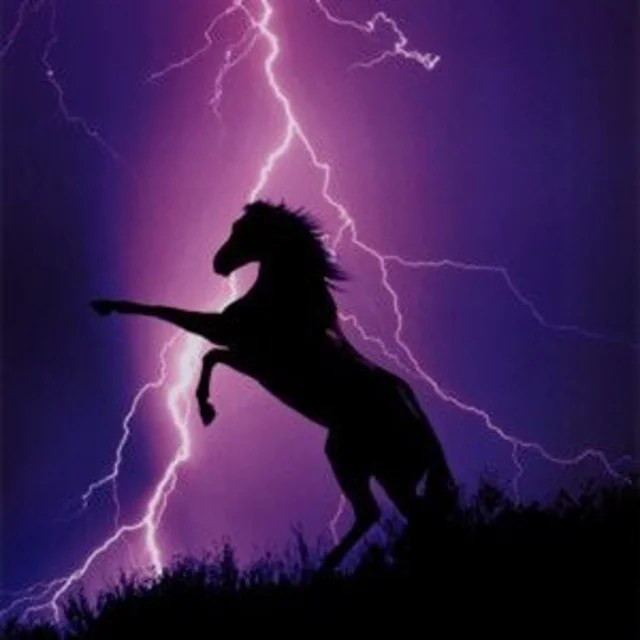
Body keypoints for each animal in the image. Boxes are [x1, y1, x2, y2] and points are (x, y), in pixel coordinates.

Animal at [91, 200, 456, 570]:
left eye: (244, 229)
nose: (218, 263)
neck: (286, 303)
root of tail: (424, 430)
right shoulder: (244, 355)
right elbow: (206, 352)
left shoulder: (245, 352)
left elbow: (185, 331)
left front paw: (206, 409)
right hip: (381, 471)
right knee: (398, 517)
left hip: (361, 463)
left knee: (391, 515)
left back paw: (331, 566)